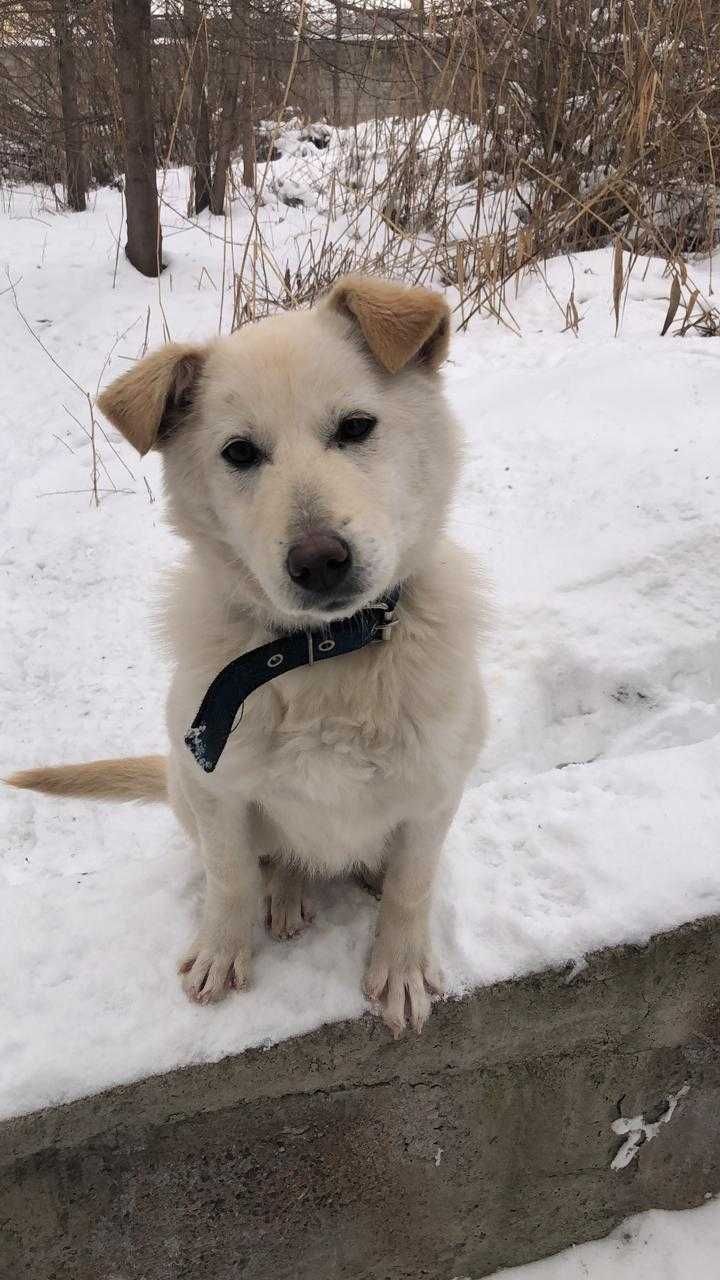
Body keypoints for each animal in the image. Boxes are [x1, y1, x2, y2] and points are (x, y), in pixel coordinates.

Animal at [8, 275, 484, 1034]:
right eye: (238, 453)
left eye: (356, 427)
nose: (319, 561)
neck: (323, 655)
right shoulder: (218, 791)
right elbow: (230, 877)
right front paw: (222, 951)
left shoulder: (435, 791)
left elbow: (413, 885)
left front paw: (401, 965)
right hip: (185, 785)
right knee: (277, 859)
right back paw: (286, 893)